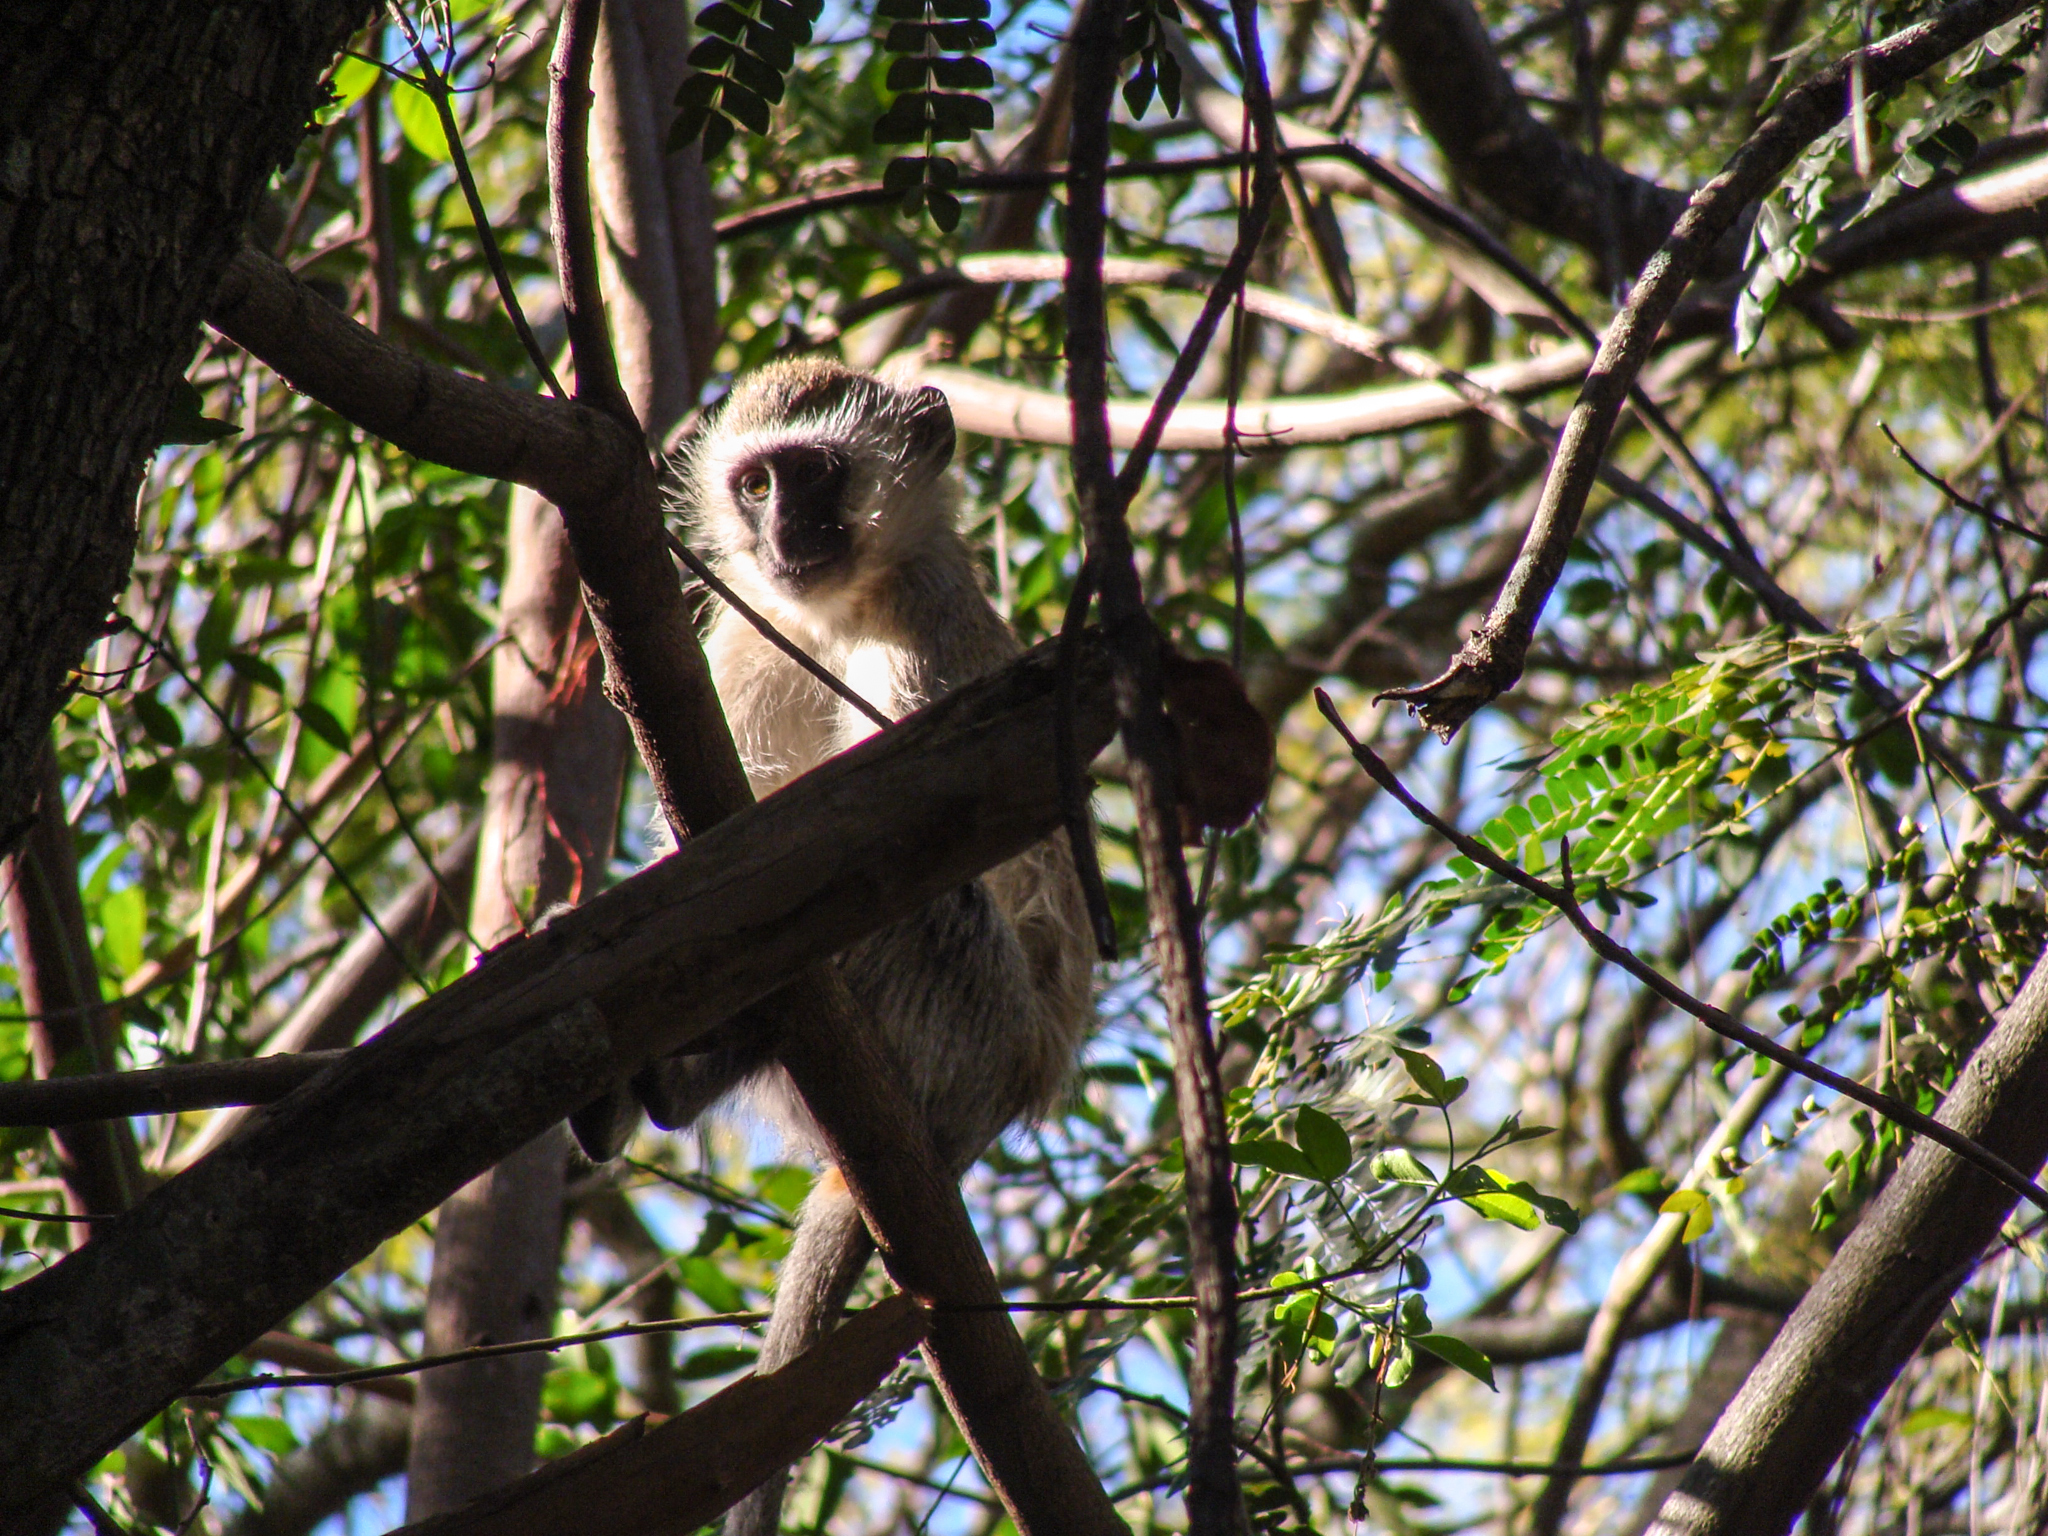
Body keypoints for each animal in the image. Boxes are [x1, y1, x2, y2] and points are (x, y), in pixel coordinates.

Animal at [602, 358, 1097, 1536]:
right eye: (755, 482)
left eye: (818, 473)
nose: (785, 528)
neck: (837, 612)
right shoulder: (741, 640)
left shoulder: (926, 626)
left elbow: (913, 820)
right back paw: (674, 1079)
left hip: (970, 1018)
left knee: (912, 891)